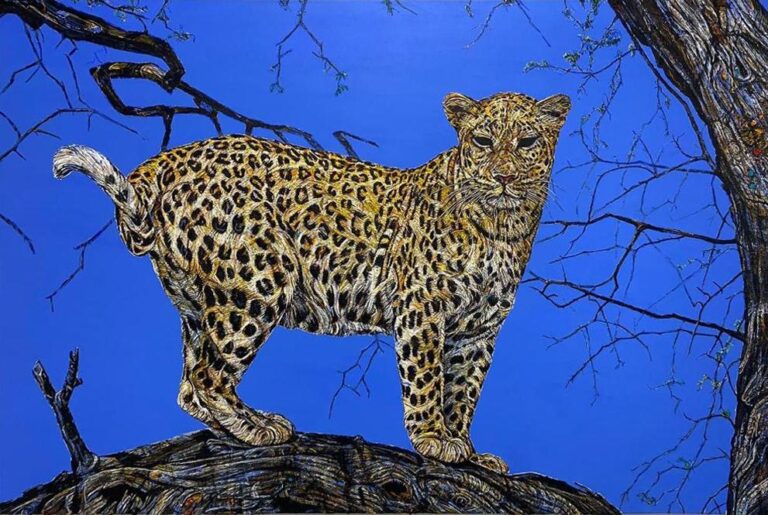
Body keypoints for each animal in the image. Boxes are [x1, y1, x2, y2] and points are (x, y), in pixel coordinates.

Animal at [52, 91, 571, 474]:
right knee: (208, 377)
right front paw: (432, 441)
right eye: (482, 141)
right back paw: (257, 430)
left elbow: (463, 392)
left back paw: (244, 427)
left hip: (200, 301)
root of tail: (161, 163)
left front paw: (466, 448)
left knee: (188, 384)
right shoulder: (422, 310)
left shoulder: (477, 331)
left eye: (526, 142)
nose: (503, 177)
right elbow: (426, 381)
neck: (502, 225)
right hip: (258, 279)